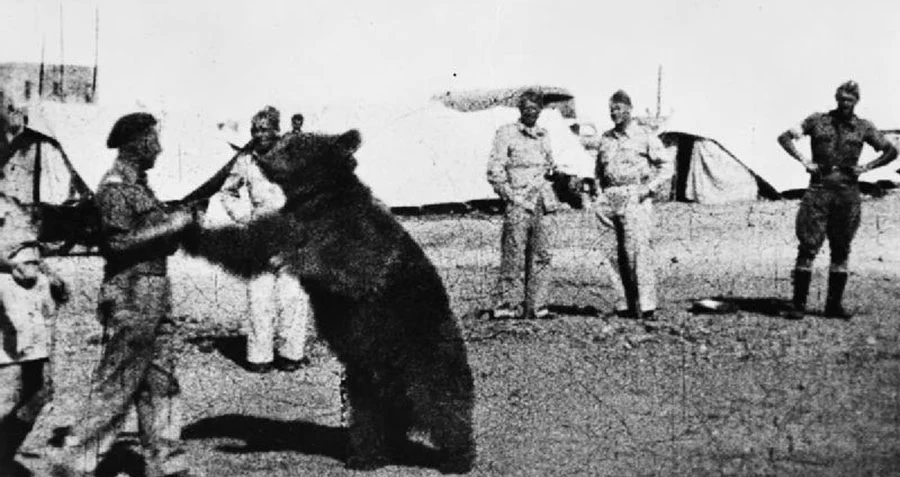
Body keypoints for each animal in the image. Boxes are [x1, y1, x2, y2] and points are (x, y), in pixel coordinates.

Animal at [184, 130, 478, 472]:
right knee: (369, 418)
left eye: (293, 142)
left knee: (441, 404)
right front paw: (192, 228)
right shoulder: (289, 223)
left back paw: (457, 457)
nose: (261, 147)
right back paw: (366, 455)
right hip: (367, 377)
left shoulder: (352, 233)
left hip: (423, 353)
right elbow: (247, 245)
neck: (315, 197)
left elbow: (348, 266)